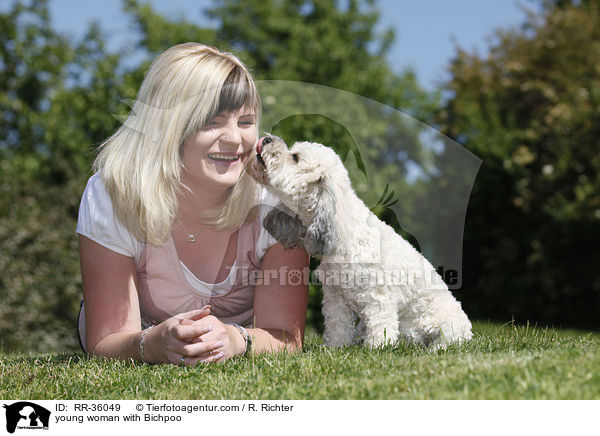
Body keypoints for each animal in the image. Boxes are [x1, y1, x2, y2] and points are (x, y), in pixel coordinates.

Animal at [246, 135, 472, 350]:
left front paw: (378, 349)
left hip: (450, 328)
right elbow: (338, 327)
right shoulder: (335, 298)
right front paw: (336, 348)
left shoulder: (379, 298)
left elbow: (381, 328)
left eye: (295, 157)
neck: (344, 230)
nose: (266, 139)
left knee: (444, 342)